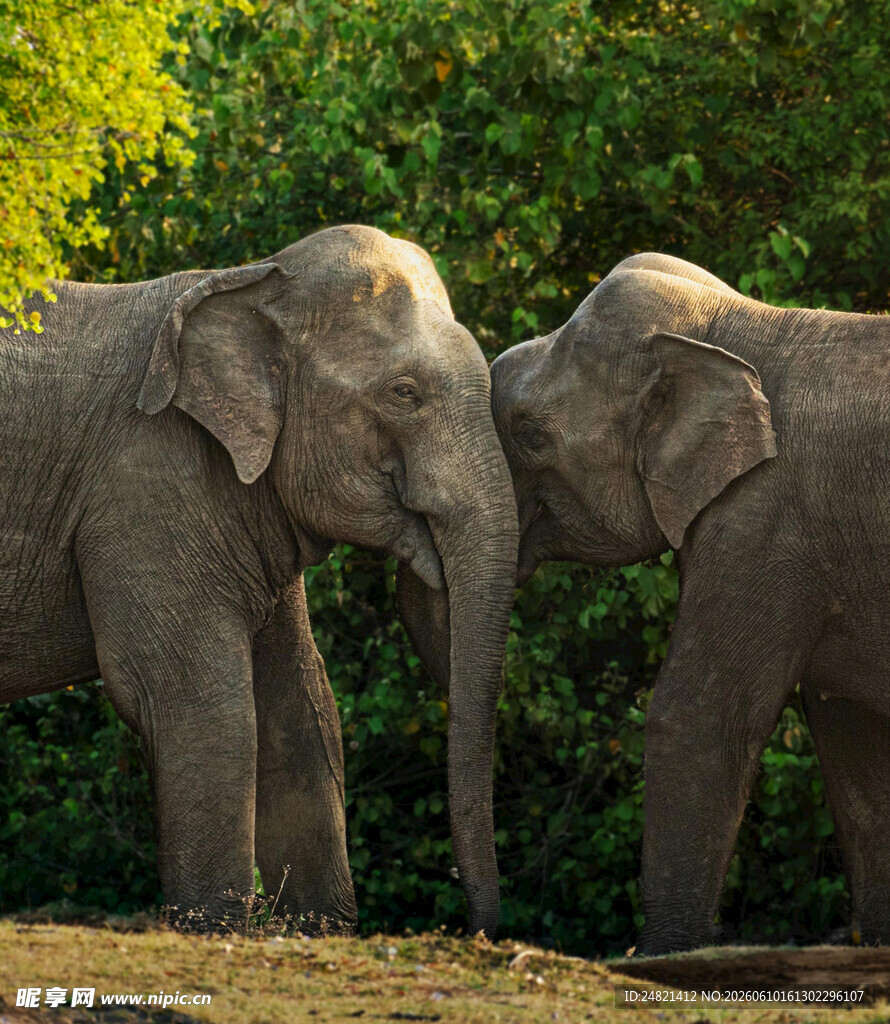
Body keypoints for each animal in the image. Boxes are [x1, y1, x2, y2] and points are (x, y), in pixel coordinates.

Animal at [0, 225, 518, 936]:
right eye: (404, 394)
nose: (478, 929)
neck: (251, 279)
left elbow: (302, 712)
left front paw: (321, 931)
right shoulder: (145, 488)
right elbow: (201, 706)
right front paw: (213, 928)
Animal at [488, 252, 890, 954]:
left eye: (530, 433)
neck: (733, 327)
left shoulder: (763, 520)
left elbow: (697, 715)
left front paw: (662, 955)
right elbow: (854, 742)